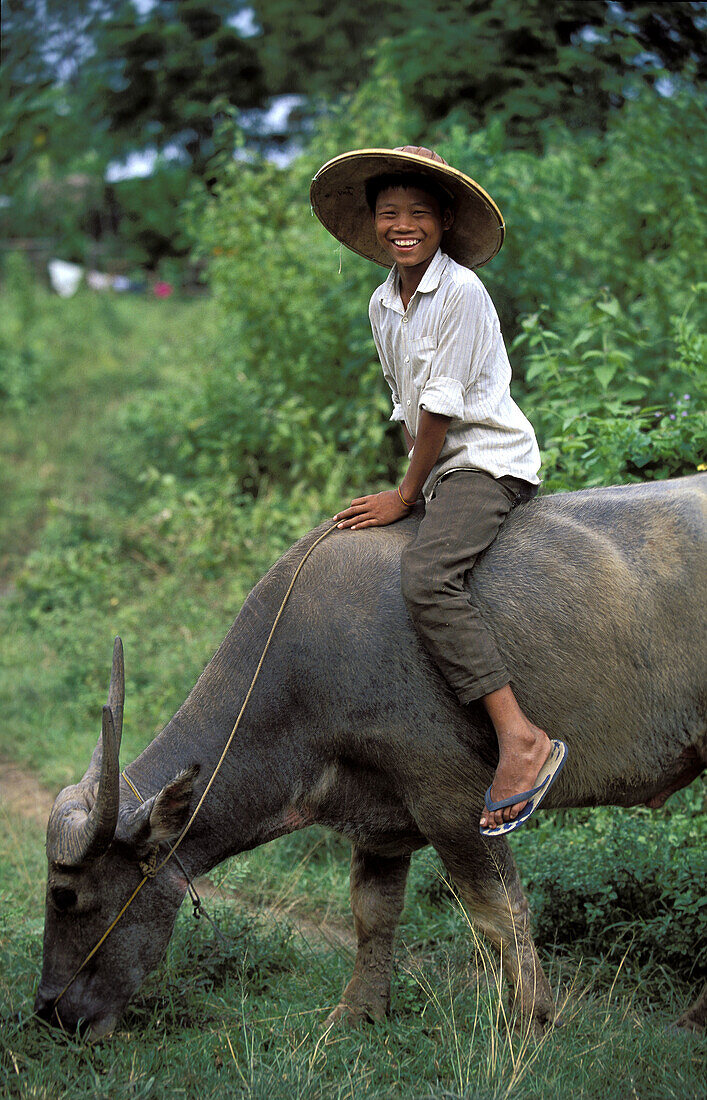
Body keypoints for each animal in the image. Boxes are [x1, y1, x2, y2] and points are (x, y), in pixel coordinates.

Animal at [36, 477, 703, 1034]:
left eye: (65, 896)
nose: (50, 1012)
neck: (300, 672)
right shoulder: (379, 820)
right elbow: (373, 912)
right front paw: (358, 1013)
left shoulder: (452, 799)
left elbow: (497, 911)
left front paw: (533, 1020)